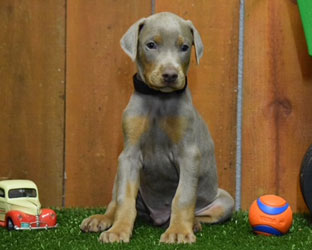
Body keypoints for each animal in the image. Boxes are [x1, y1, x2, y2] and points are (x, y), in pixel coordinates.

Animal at [79, 12, 233, 244]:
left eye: (184, 47)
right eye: (151, 45)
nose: (170, 74)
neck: (159, 99)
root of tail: (159, 217)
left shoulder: (188, 154)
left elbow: (183, 197)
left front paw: (178, 231)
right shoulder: (129, 155)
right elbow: (124, 198)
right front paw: (119, 230)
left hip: (224, 200)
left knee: (202, 212)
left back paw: (193, 224)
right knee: (115, 200)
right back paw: (102, 219)